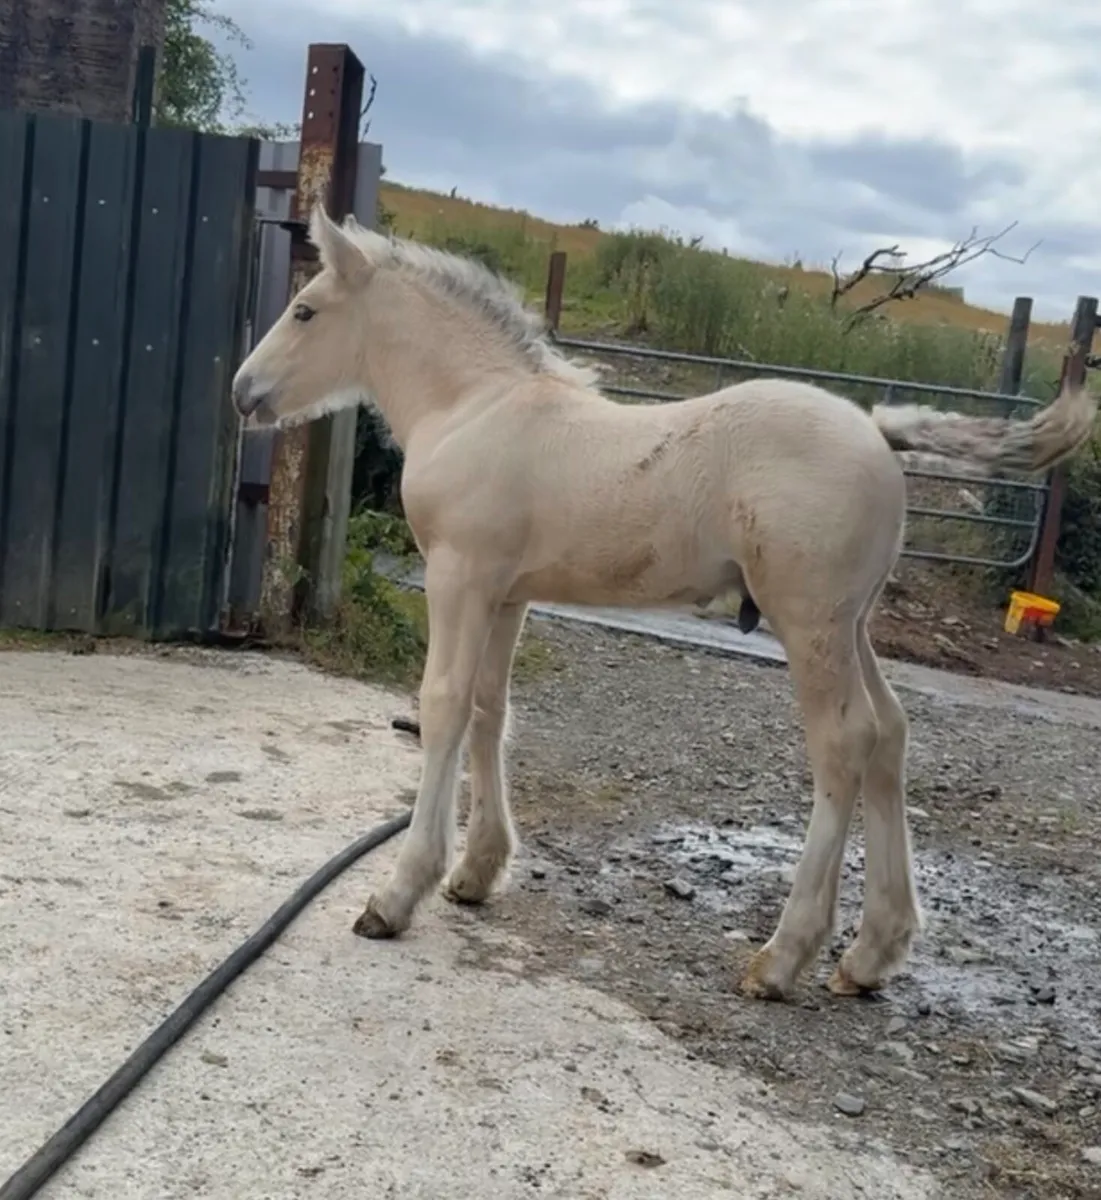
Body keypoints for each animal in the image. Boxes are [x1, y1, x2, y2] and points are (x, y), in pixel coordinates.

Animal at [232, 205, 1096, 1002]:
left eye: (305, 309)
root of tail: (880, 435)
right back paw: (868, 955)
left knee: (844, 743)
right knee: (888, 734)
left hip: (806, 621)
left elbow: (442, 707)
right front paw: (477, 872)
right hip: (850, 624)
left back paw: (782, 957)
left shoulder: (458, 576)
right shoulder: (507, 594)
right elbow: (489, 709)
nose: (243, 390)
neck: (474, 404)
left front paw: (396, 894)